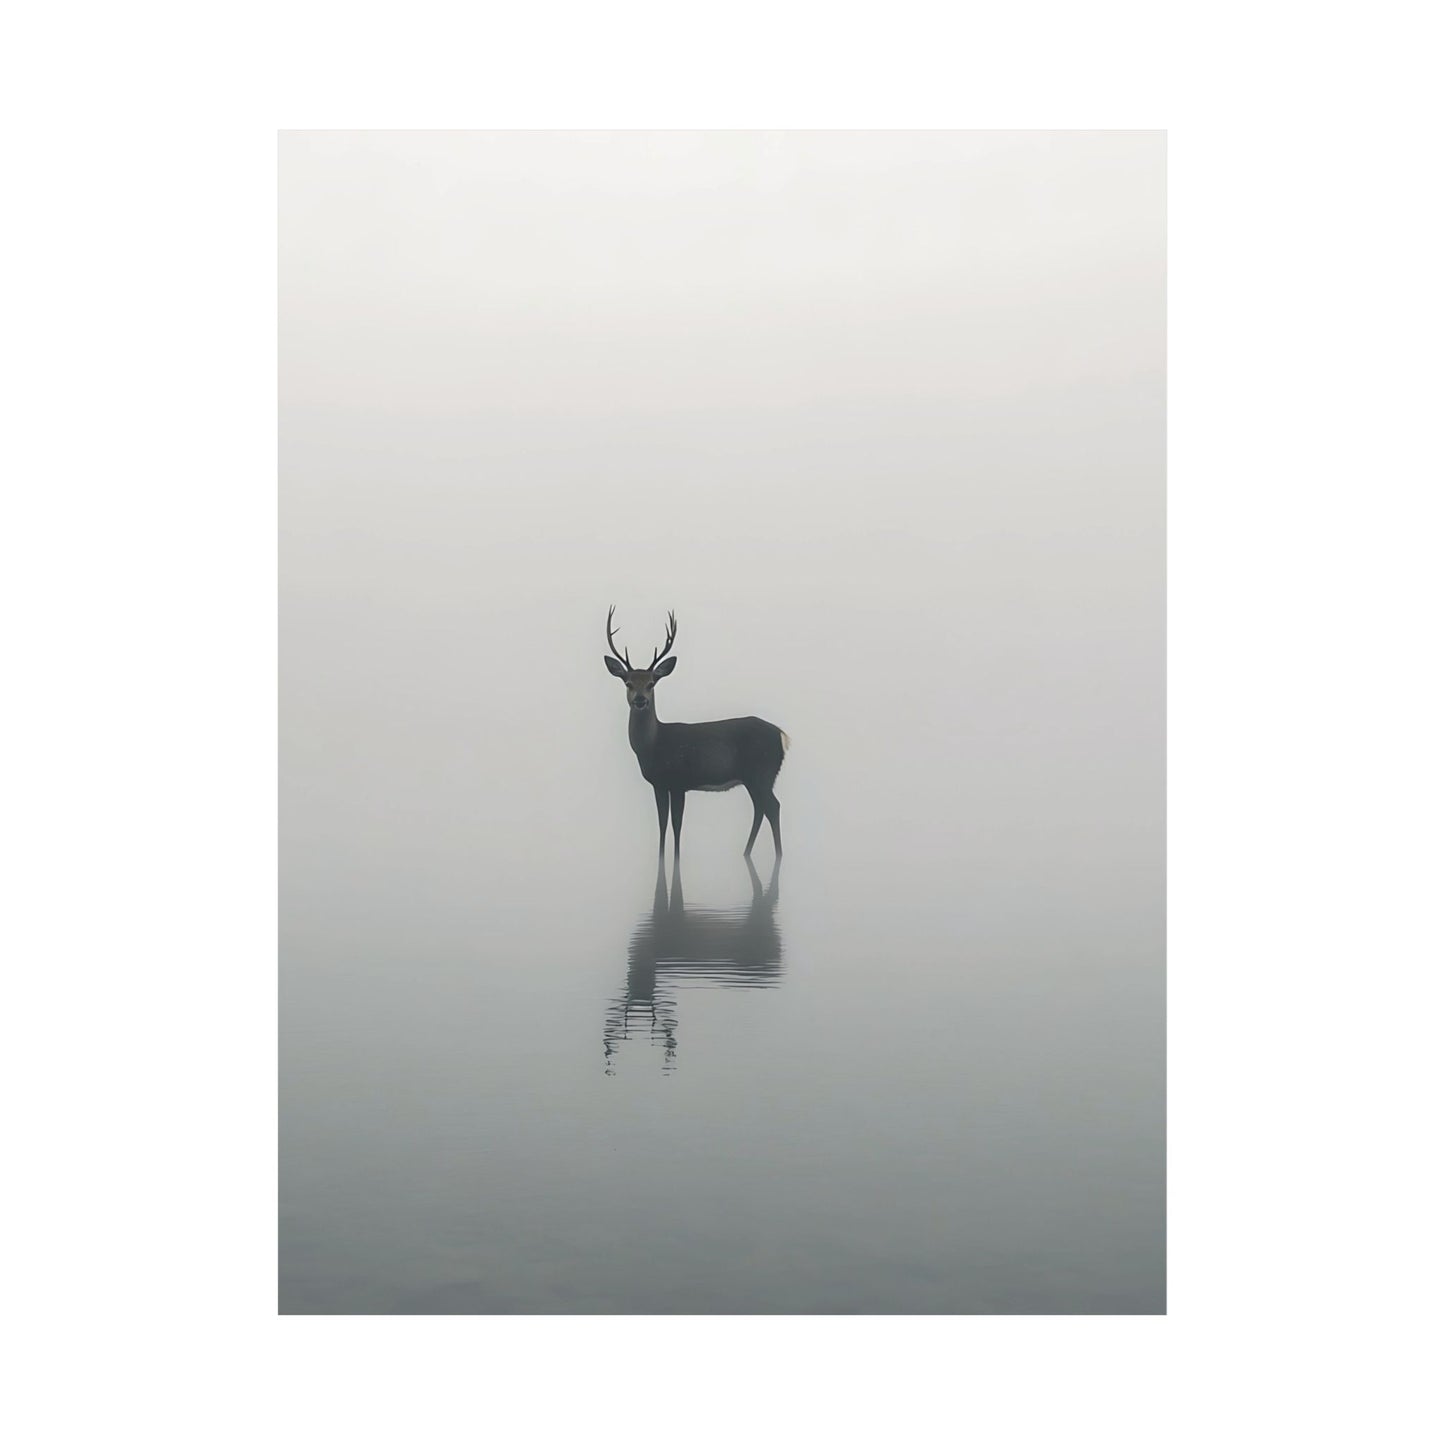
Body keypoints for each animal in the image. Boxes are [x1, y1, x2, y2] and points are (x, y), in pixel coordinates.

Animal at [604, 607, 789, 862]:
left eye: (651, 683)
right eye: (628, 683)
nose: (640, 700)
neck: (653, 746)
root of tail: (782, 735)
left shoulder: (679, 780)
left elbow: (676, 824)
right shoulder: (659, 784)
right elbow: (662, 823)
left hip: (761, 771)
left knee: (772, 807)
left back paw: (777, 853)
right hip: (756, 777)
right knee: (761, 808)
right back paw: (746, 851)